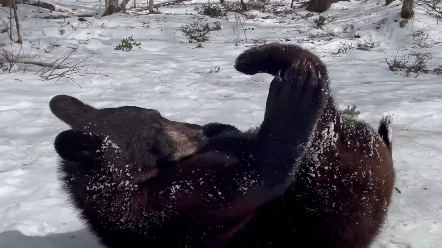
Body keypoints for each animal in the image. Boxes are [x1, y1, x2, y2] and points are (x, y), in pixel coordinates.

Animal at [51, 56, 328, 248]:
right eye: (155, 140)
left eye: (159, 114)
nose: (200, 132)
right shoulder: (172, 205)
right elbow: (257, 175)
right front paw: (296, 91)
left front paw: (221, 127)